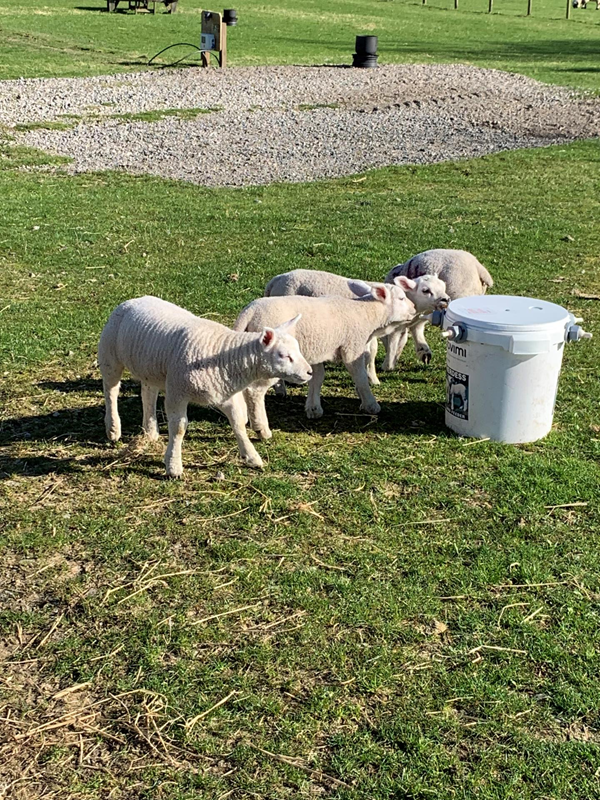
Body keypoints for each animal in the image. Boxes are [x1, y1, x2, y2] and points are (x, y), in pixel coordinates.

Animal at [96, 296, 312, 476]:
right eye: (284, 355)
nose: (309, 372)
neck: (224, 355)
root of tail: (134, 300)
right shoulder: (177, 392)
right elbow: (179, 428)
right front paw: (173, 465)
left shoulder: (224, 393)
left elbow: (238, 423)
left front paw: (251, 456)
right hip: (109, 356)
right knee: (111, 390)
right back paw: (113, 428)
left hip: (151, 368)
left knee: (148, 393)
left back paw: (150, 431)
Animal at [234, 278, 418, 434]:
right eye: (401, 298)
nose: (415, 308)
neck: (366, 314)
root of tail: (250, 311)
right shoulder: (352, 347)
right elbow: (360, 377)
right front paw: (370, 405)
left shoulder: (316, 351)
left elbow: (317, 377)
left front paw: (313, 408)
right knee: (255, 391)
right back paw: (261, 428)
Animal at [264, 268, 448, 386]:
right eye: (425, 290)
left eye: (443, 287)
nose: (446, 299)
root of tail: (276, 279)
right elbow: (372, 352)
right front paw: (375, 377)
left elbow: (397, 343)